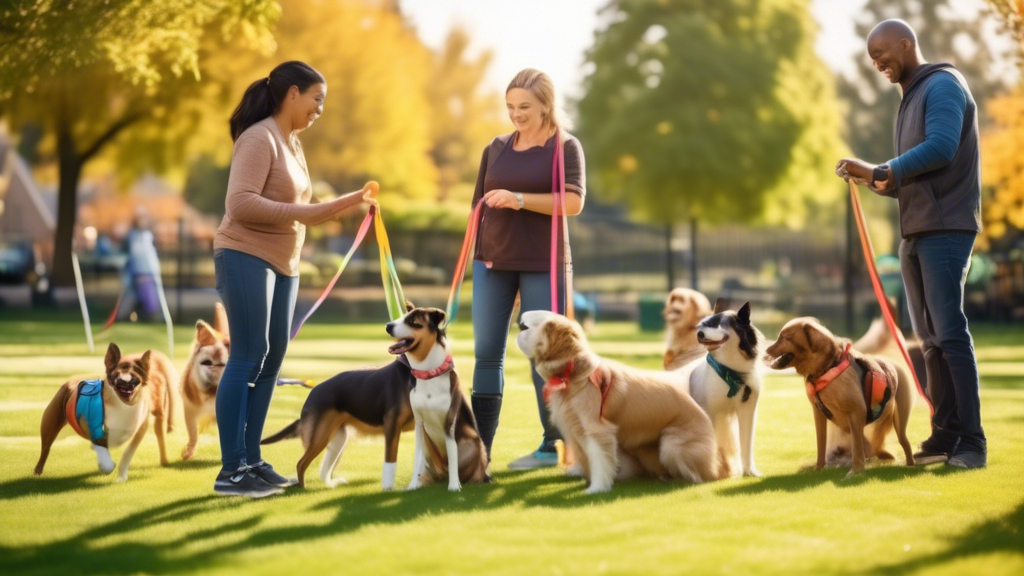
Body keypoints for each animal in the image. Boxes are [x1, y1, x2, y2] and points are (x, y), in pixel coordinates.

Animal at [33, 340, 178, 479]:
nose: (125, 381)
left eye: (134, 375)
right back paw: (38, 471)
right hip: (49, 425)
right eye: (116, 374)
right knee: (45, 448)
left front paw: (121, 475)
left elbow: (127, 451)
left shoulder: (140, 427)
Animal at [516, 309, 716, 494]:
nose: (517, 326)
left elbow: (600, 461)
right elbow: (581, 454)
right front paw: (578, 471)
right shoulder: (572, 427)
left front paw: (597, 488)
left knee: (705, 476)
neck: (573, 376)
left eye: (525, 327)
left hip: (671, 446)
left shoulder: (597, 430)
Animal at [765, 315, 917, 473]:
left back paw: (910, 463)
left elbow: (857, 447)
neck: (826, 369)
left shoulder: (857, 412)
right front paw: (819, 469)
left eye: (787, 338)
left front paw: (855, 471)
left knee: (903, 441)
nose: (766, 349)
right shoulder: (819, 414)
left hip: (899, 418)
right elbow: (821, 444)